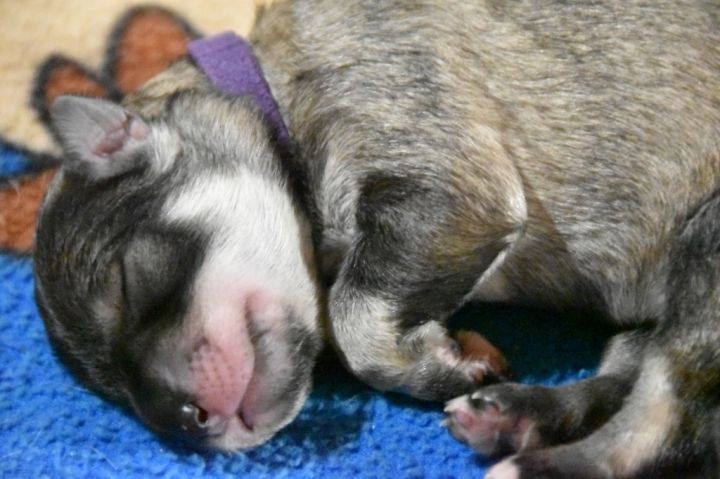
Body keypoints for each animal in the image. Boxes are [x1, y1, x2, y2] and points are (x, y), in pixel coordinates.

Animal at [33, 0, 720, 477]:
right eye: (115, 394)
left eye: (129, 284)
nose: (182, 422)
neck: (272, 89)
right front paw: (451, 363)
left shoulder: (441, 170)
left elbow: (352, 314)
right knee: (633, 373)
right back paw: (516, 415)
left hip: (707, 255)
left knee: (665, 420)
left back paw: (534, 462)